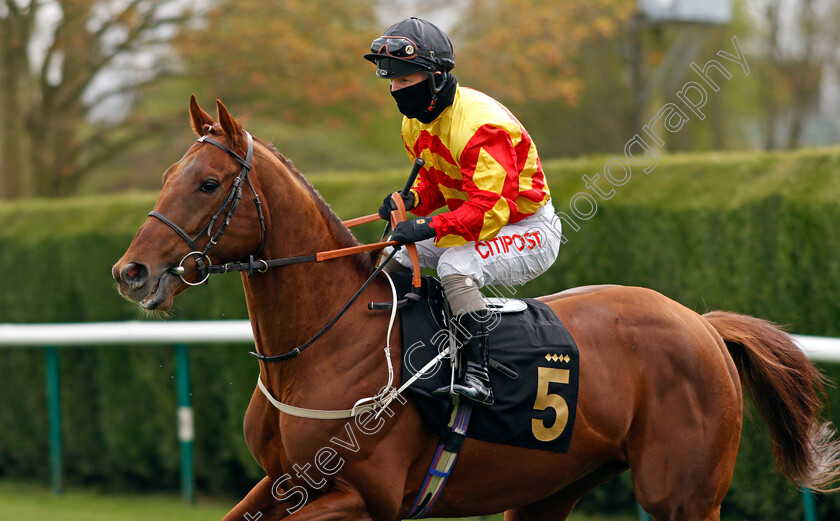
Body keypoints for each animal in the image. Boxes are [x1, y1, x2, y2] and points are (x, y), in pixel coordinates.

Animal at [113, 96, 840, 516]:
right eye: (167, 176)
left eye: (208, 183)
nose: (131, 272)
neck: (325, 341)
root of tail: (703, 325)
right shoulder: (282, 481)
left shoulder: (365, 499)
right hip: (551, 488)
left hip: (683, 495)